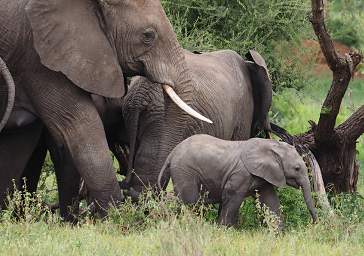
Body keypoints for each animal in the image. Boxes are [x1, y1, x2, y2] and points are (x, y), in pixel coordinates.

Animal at [158, 135, 318, 227]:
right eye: (297, 168)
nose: (315, 224)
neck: (271, 146)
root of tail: (171, 154)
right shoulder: (241, 174)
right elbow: (232, 197)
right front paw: (224, 229)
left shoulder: (264, 175)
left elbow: (270, 201)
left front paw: (278, 234)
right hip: (185, 171)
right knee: (191, 201)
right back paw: (191, 224)